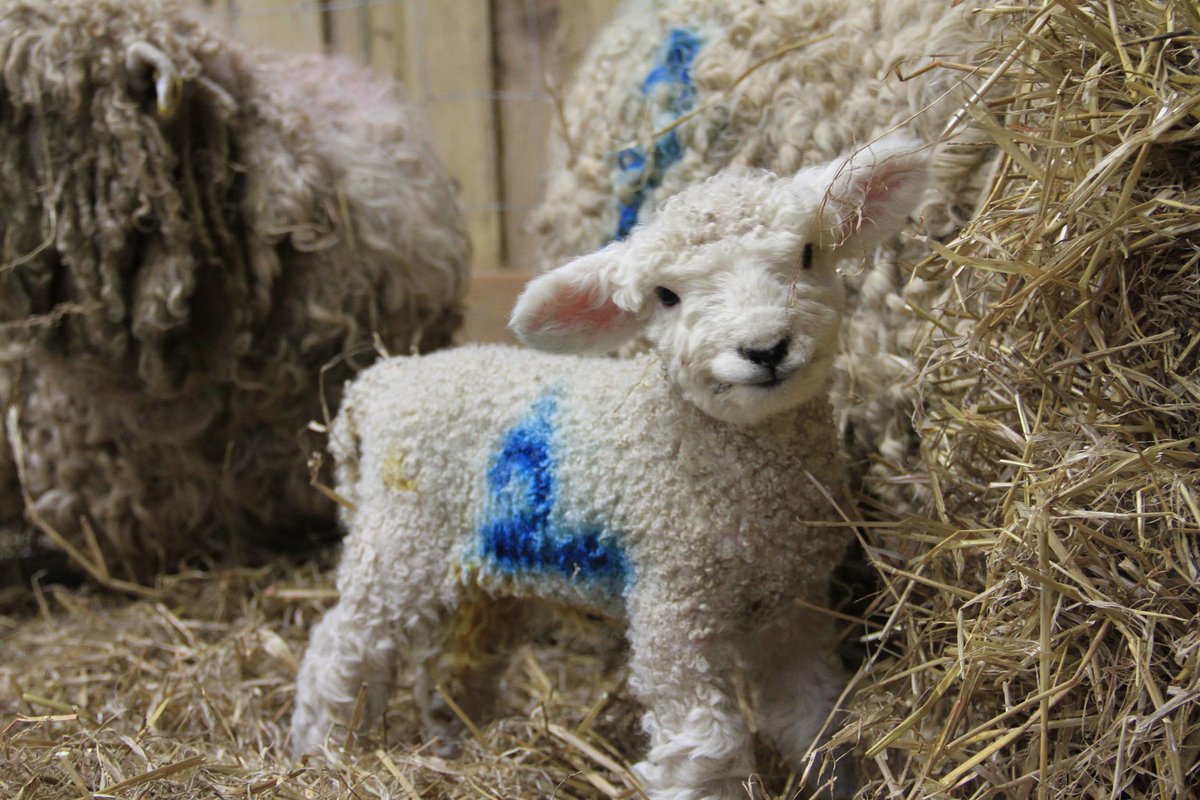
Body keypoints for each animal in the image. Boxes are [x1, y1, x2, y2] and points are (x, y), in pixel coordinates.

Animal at [291, 137, 930, 800]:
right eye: (666, 296)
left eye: (808, 254)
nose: (764, 349)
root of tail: (378, 382)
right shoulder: (673, 605)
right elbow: (707, 746)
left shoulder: (794, 604)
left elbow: (812, 713)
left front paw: (836, 778)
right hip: (399, 543)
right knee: (339, 650)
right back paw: (325, 749)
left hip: (483, 567)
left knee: (454, 655)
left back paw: (454, 739)